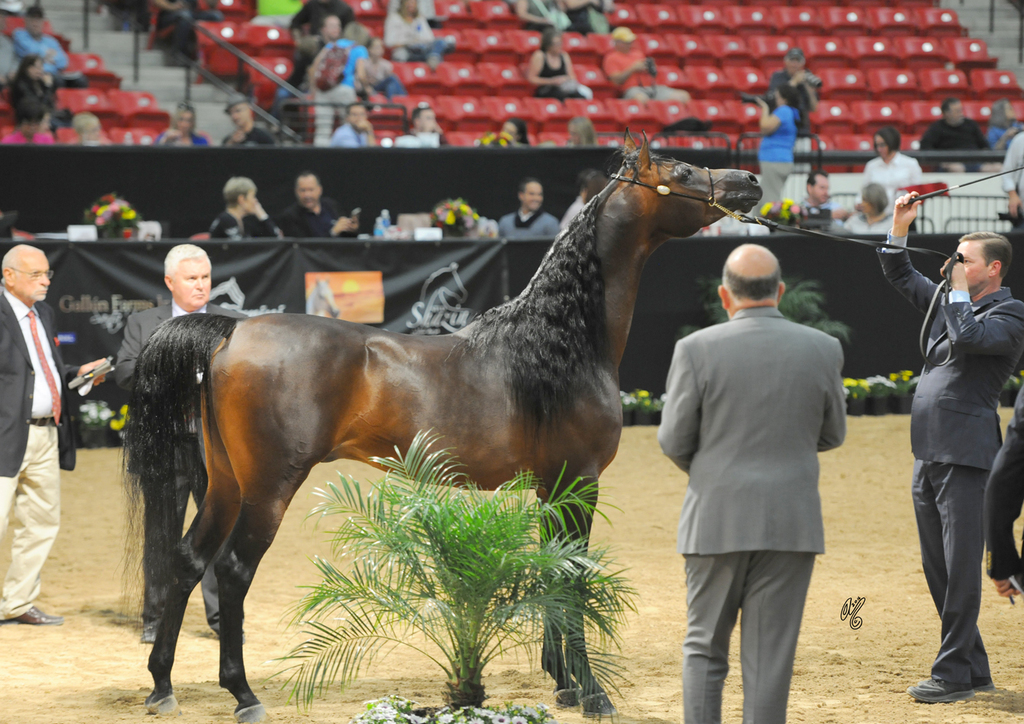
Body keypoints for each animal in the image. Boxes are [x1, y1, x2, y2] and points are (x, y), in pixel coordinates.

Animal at [122, 132, 762, 723]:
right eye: (682, 171)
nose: (751, 181)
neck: (562, 343)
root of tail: (231, 332)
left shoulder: (551, 490)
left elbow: (551, 571)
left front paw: (563, 683)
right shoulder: (578, 483)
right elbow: (573, 579)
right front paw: (593, 693)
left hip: (225, 485)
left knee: (187, 560)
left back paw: (162, 684)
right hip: (268, 490)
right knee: (231, 572)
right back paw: (243, 694)